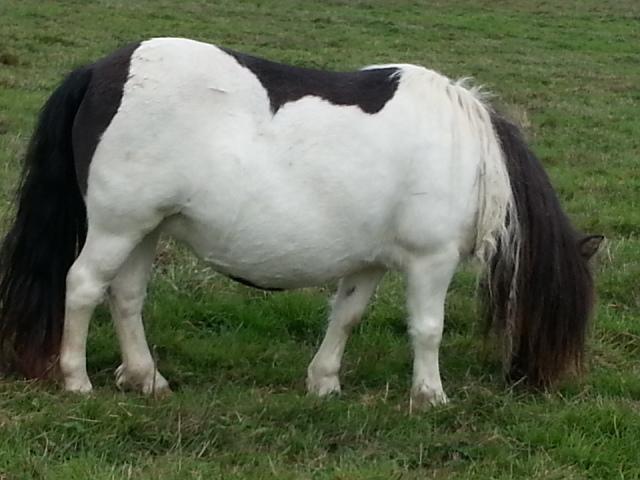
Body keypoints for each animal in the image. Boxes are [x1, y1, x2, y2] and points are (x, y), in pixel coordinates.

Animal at [0, 37, 600, 406]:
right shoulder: (431, 260)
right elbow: (428, 328)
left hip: (144, 230)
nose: (557, 384)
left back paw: (146, 378)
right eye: (567, 316)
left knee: (125, 297)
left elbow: (347, 317)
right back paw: (77, 380)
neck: (468, 155)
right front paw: (431, 396)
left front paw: (324, 382)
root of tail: (101, 71)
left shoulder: (369, 262)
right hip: (117, 227)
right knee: (82, 287)